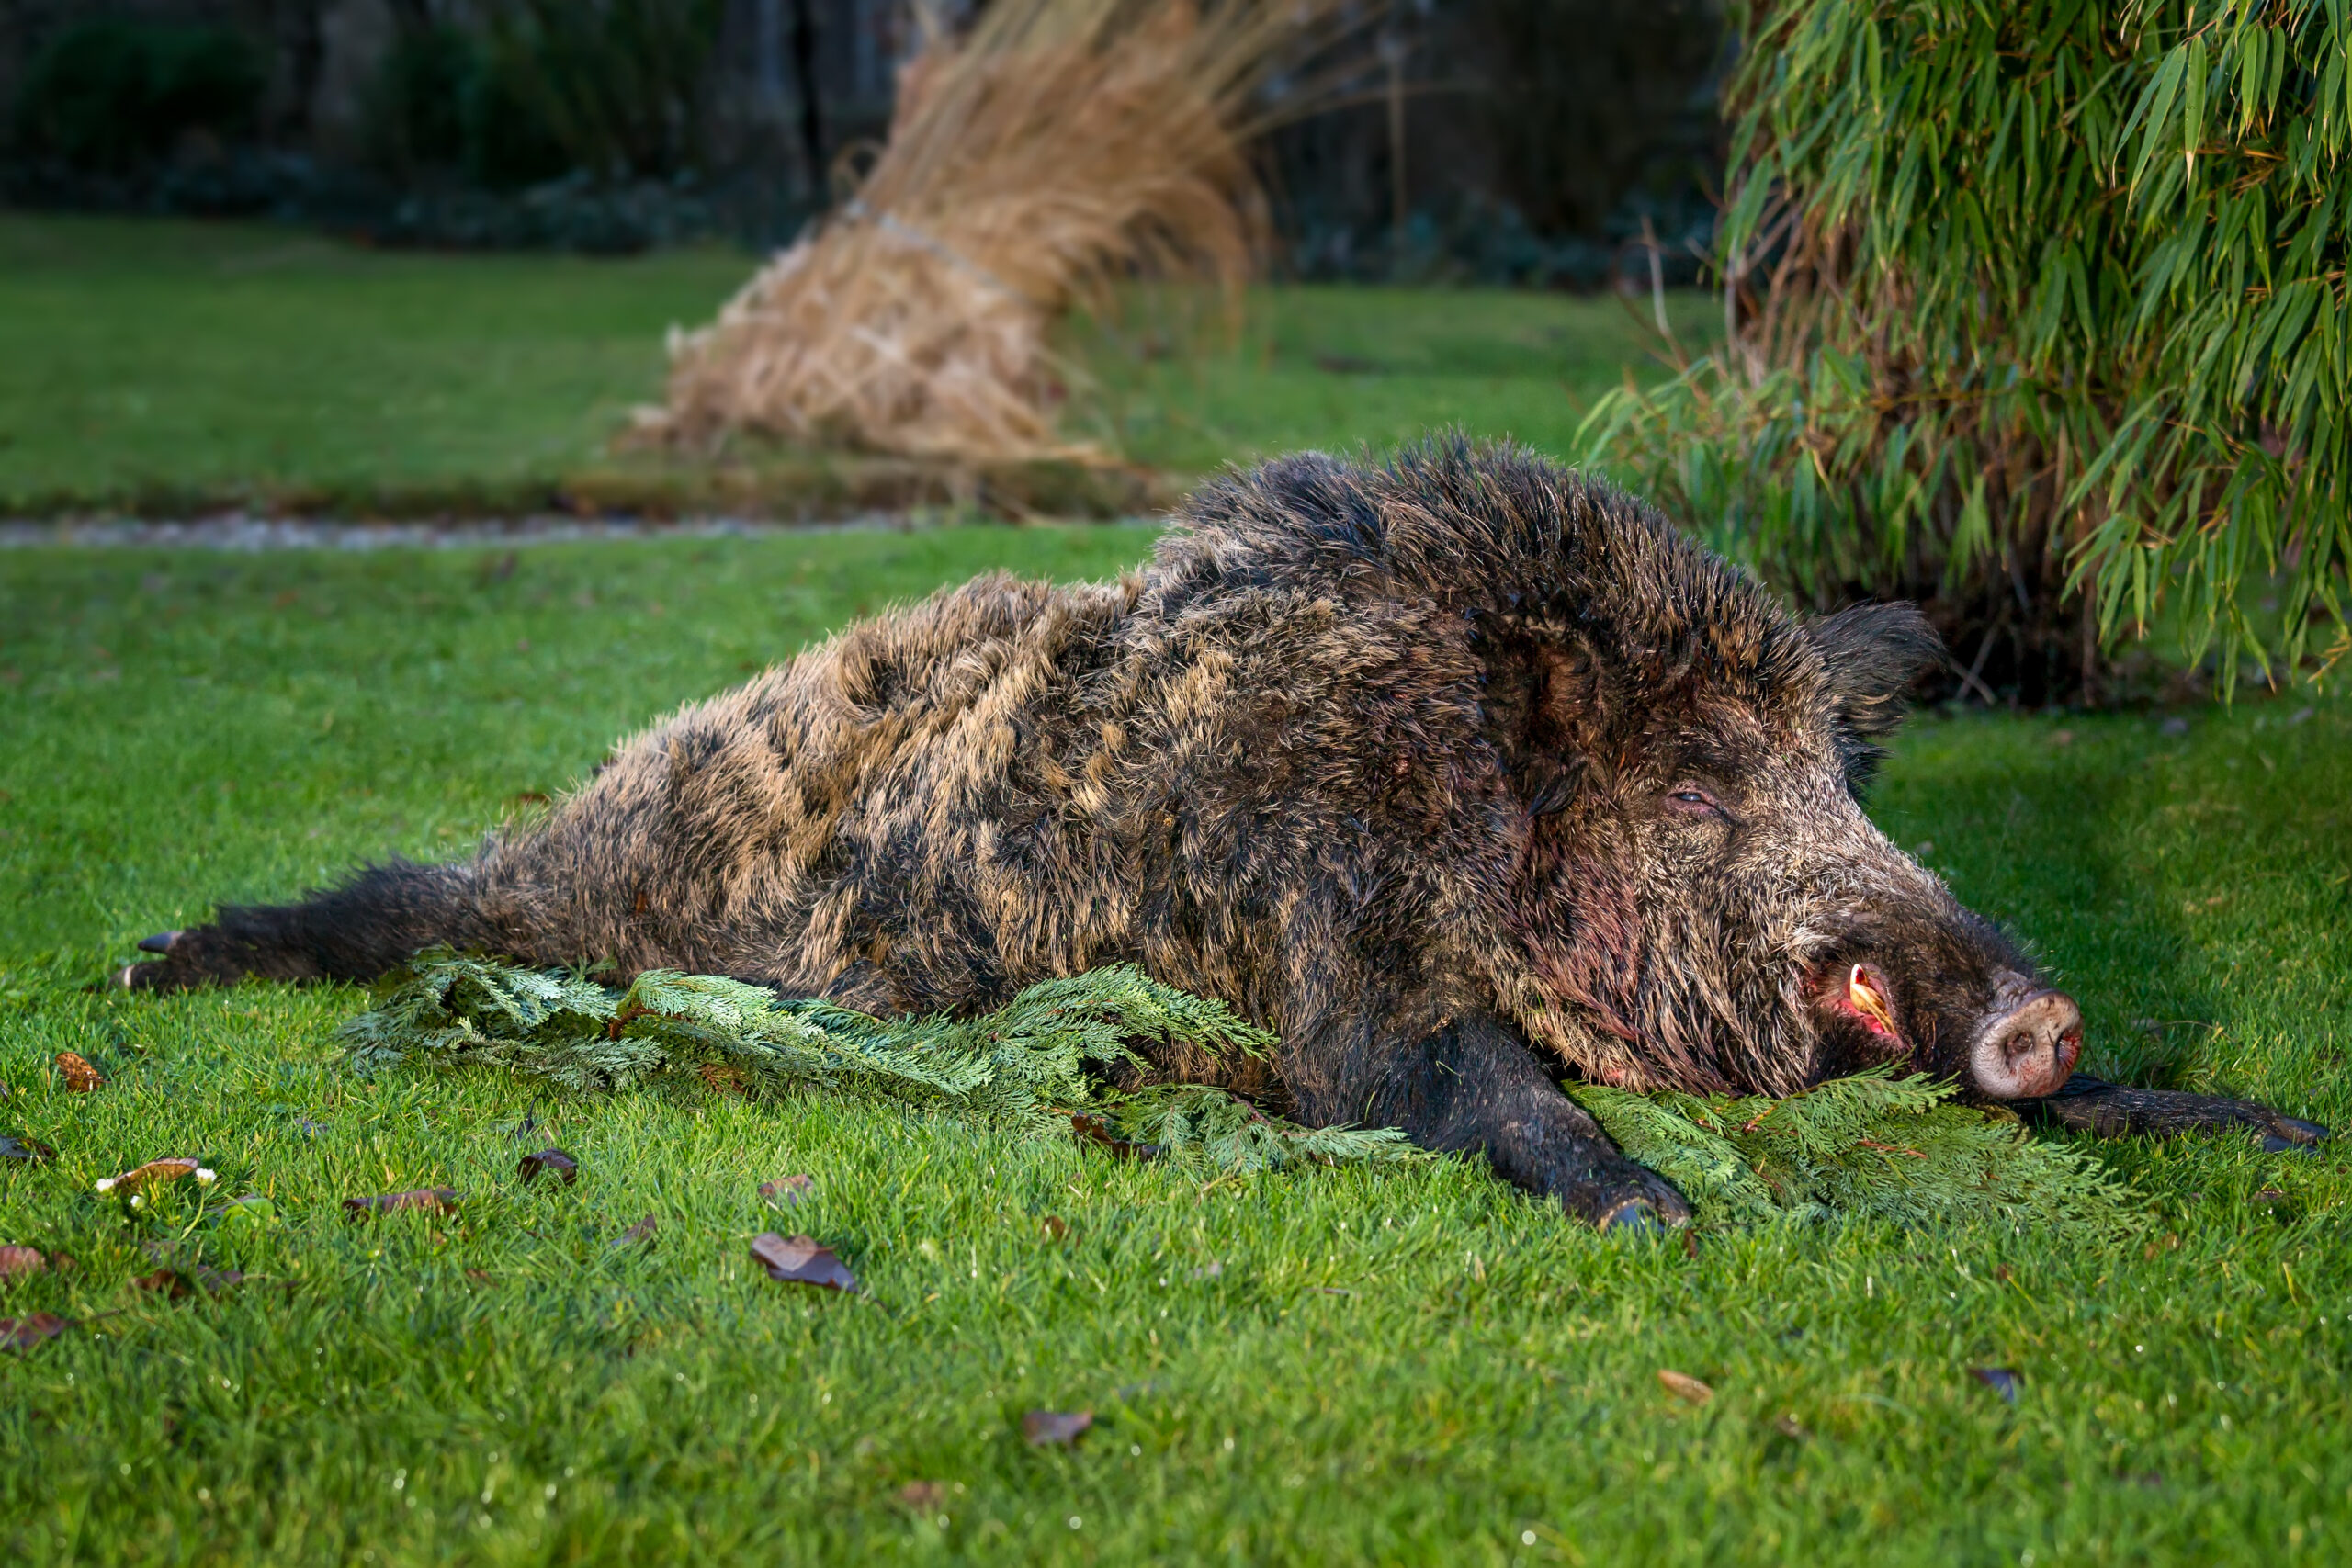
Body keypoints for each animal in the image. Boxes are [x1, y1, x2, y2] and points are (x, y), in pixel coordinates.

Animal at [119, 441, 2326, 1226]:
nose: (2036, 1007)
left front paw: (2284, 1129)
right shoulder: (1331, 970)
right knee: (418, 898)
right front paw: (1663, 1213)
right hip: (594, 871)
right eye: (1702, 789)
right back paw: (153, 959)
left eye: (1838, 781)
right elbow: (1461, 1088)